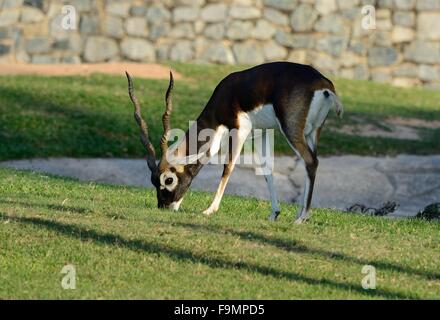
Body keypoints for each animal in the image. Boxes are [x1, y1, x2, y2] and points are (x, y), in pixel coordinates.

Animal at [124, 61, 344, 224]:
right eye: (153, 182)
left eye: (168, 180)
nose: (164, 206)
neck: (227, 94)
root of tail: (323, 84)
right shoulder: (263, 132)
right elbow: (267, 171)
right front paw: (274, 213)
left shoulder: (240, 129)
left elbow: (228, 167)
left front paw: (209, 210)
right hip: (313, 132)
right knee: (312, 162)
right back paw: (301, 214)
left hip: (291, 130)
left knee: (311, 161)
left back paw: (301, 217)